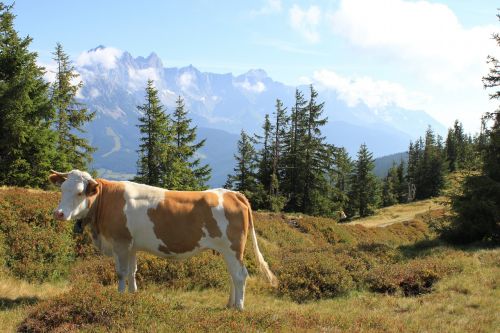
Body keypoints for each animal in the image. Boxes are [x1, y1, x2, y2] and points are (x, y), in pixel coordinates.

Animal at [48, 170, 278, 310]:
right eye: (62, 189)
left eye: (80, 193)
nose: (59, 213)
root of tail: (233, 193)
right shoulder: (131, 246)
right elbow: (132, 272)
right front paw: (133, 295)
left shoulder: (120, 243)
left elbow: (121, 272)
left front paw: (119, 297)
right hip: (227, 250)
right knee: (232, 275)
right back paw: (230, 303)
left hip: (233, 248)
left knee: (240, 275)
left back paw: (238, 307)